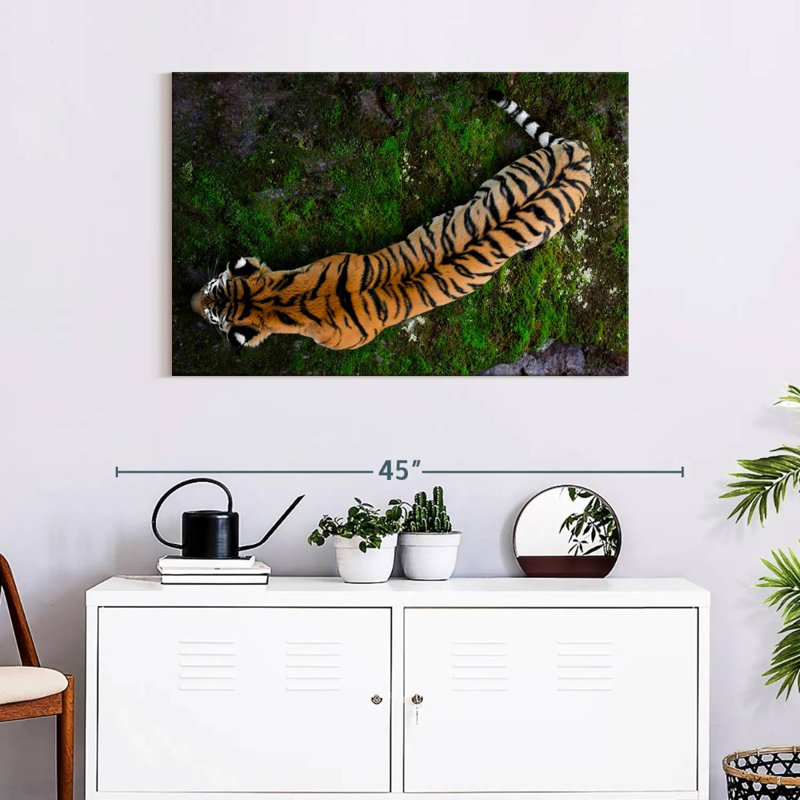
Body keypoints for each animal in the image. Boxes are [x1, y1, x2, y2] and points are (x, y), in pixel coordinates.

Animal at [190, 91, 592, 350]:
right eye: (209, 289)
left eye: (210, 314)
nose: (190, 301)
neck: (278, 298)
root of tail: (580, 152)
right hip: (500, 178)